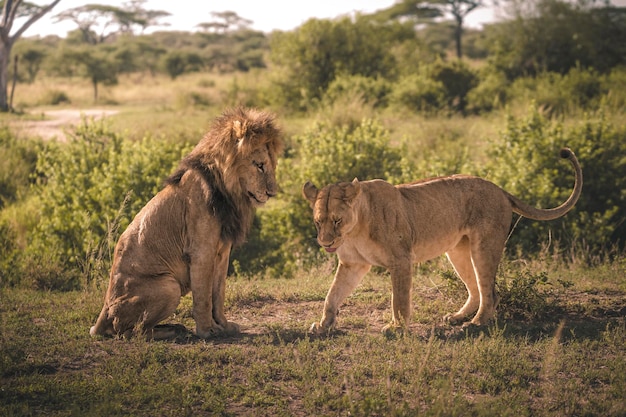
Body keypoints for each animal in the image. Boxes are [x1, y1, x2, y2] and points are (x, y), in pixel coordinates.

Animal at [89, 107, 280, 338]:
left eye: (272, 165)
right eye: (259, 166)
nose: (272, 193)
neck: (230, 194)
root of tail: (102, 315)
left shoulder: (222, 252)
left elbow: (218, 293)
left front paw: (224, 326)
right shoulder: (201, 251)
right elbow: (203, 297)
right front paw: (207, 331)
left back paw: (173, 327)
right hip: (169, 286)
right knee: (131, 332)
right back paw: (171, 332)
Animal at [302, 148, 580, 334]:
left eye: (337, 220)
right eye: (318, 222)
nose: (325, 243)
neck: (355, 230)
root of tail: (499, 188)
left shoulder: (401, 259)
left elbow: (398, 299)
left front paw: (397, 327)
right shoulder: (353, 264)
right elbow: (333, 295)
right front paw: (324, 324)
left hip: (484, 246)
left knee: (490, 291)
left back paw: (476, 323)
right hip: (458, 251)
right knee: (475, 289)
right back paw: (457, 318)